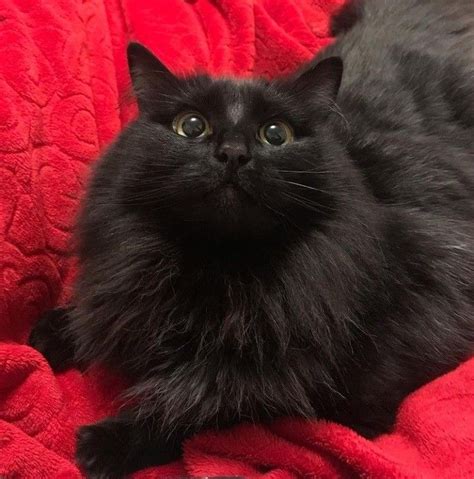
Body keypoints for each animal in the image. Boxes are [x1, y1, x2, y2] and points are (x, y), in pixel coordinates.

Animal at [28, 1, 474, 478]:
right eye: (191, 126)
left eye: (276, 134)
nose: (233, 154)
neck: (216, 266)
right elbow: (106, 315)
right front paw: (54, 333)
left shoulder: (347, 383)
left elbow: (205, 403)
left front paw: (107, 443)